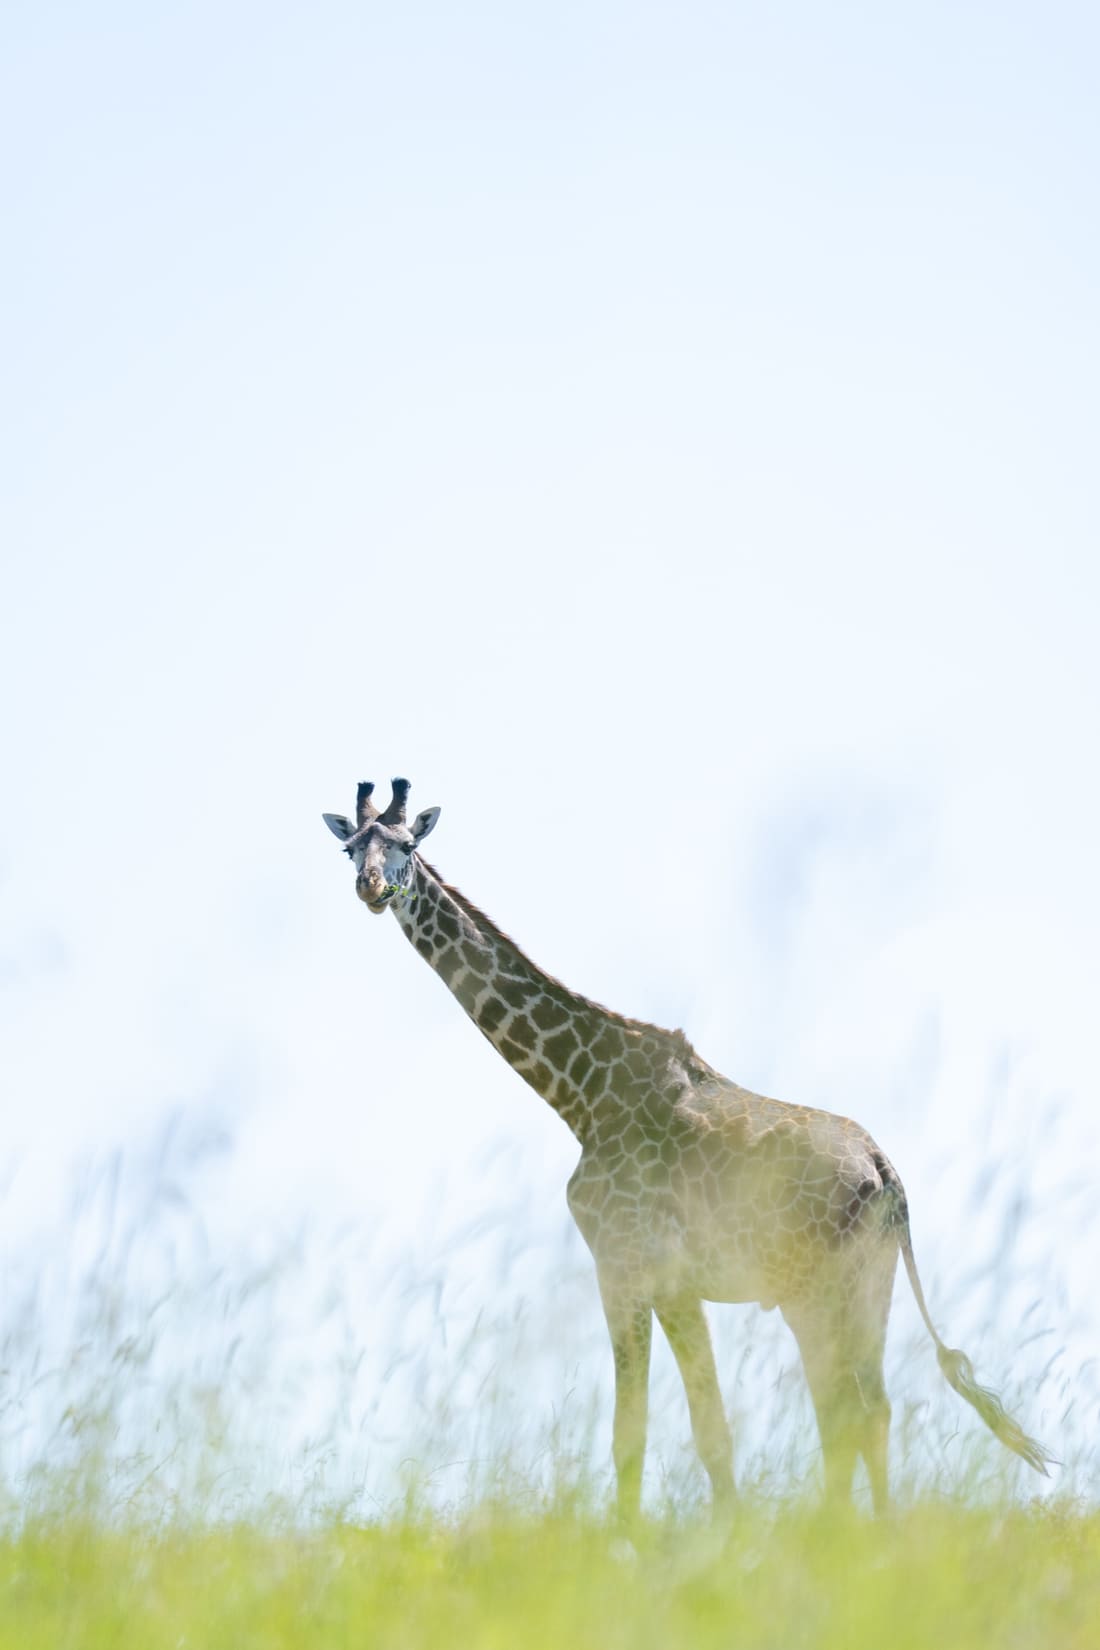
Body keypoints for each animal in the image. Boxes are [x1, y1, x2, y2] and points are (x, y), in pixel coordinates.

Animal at [323, 777, 1052, 1517]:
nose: (371, 886)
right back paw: (866, 1532)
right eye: (352, 847)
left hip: (818, 1289)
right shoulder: (672, 1282)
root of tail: (886, 1174)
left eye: (407, 844)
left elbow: (648, 1434)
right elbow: (700, 1431)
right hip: (862, 1283)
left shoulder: (630, 1266)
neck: (578, 1093)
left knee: (846, 1409)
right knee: (867, 1409)